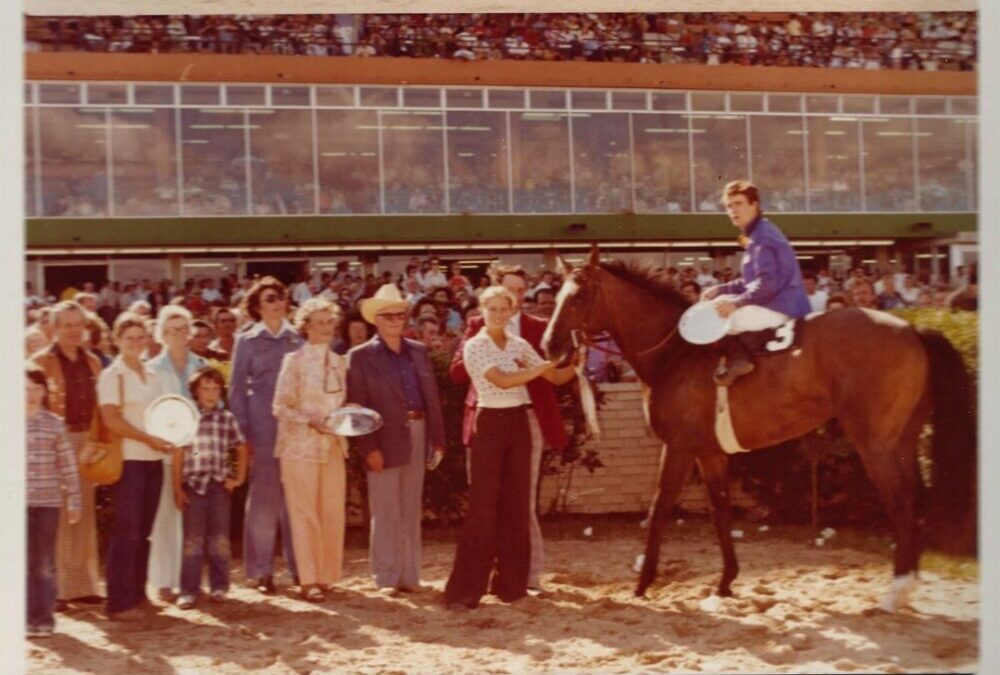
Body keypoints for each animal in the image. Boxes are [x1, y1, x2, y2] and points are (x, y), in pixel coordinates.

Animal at [544, 247, 972, 612]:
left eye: (578, 297)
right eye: (558, 295)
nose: (549, 345)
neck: (677, 353)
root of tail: (914, 330)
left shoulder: (679, 448)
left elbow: (659, 507)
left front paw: (643, 582)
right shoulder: (710, 452)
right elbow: (720, 510)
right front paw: (725, 582)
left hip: (876, 445)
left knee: (903, 504)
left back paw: (895, 591)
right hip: (902, 441)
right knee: (916, 499)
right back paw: (908, 583)